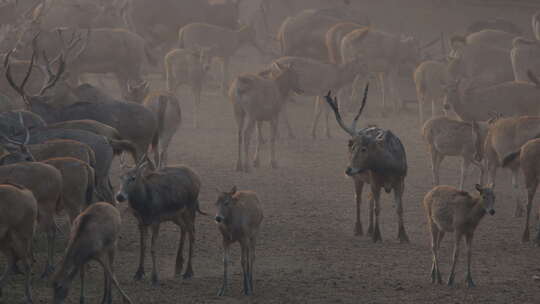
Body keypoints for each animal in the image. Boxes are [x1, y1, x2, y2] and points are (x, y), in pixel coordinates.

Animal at [322, 84, 408, 243]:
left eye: (364, 149)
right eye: (353, 147)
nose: (348, 169)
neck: (388, 168)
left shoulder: (401, 180)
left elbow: (399, 208)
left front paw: (403, 236)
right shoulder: (375, 181)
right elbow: (377, 208)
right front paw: (377, 236)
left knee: (369, 200)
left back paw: (369, 230)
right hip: (359, 179)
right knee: (359, 200)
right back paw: (359, 229)